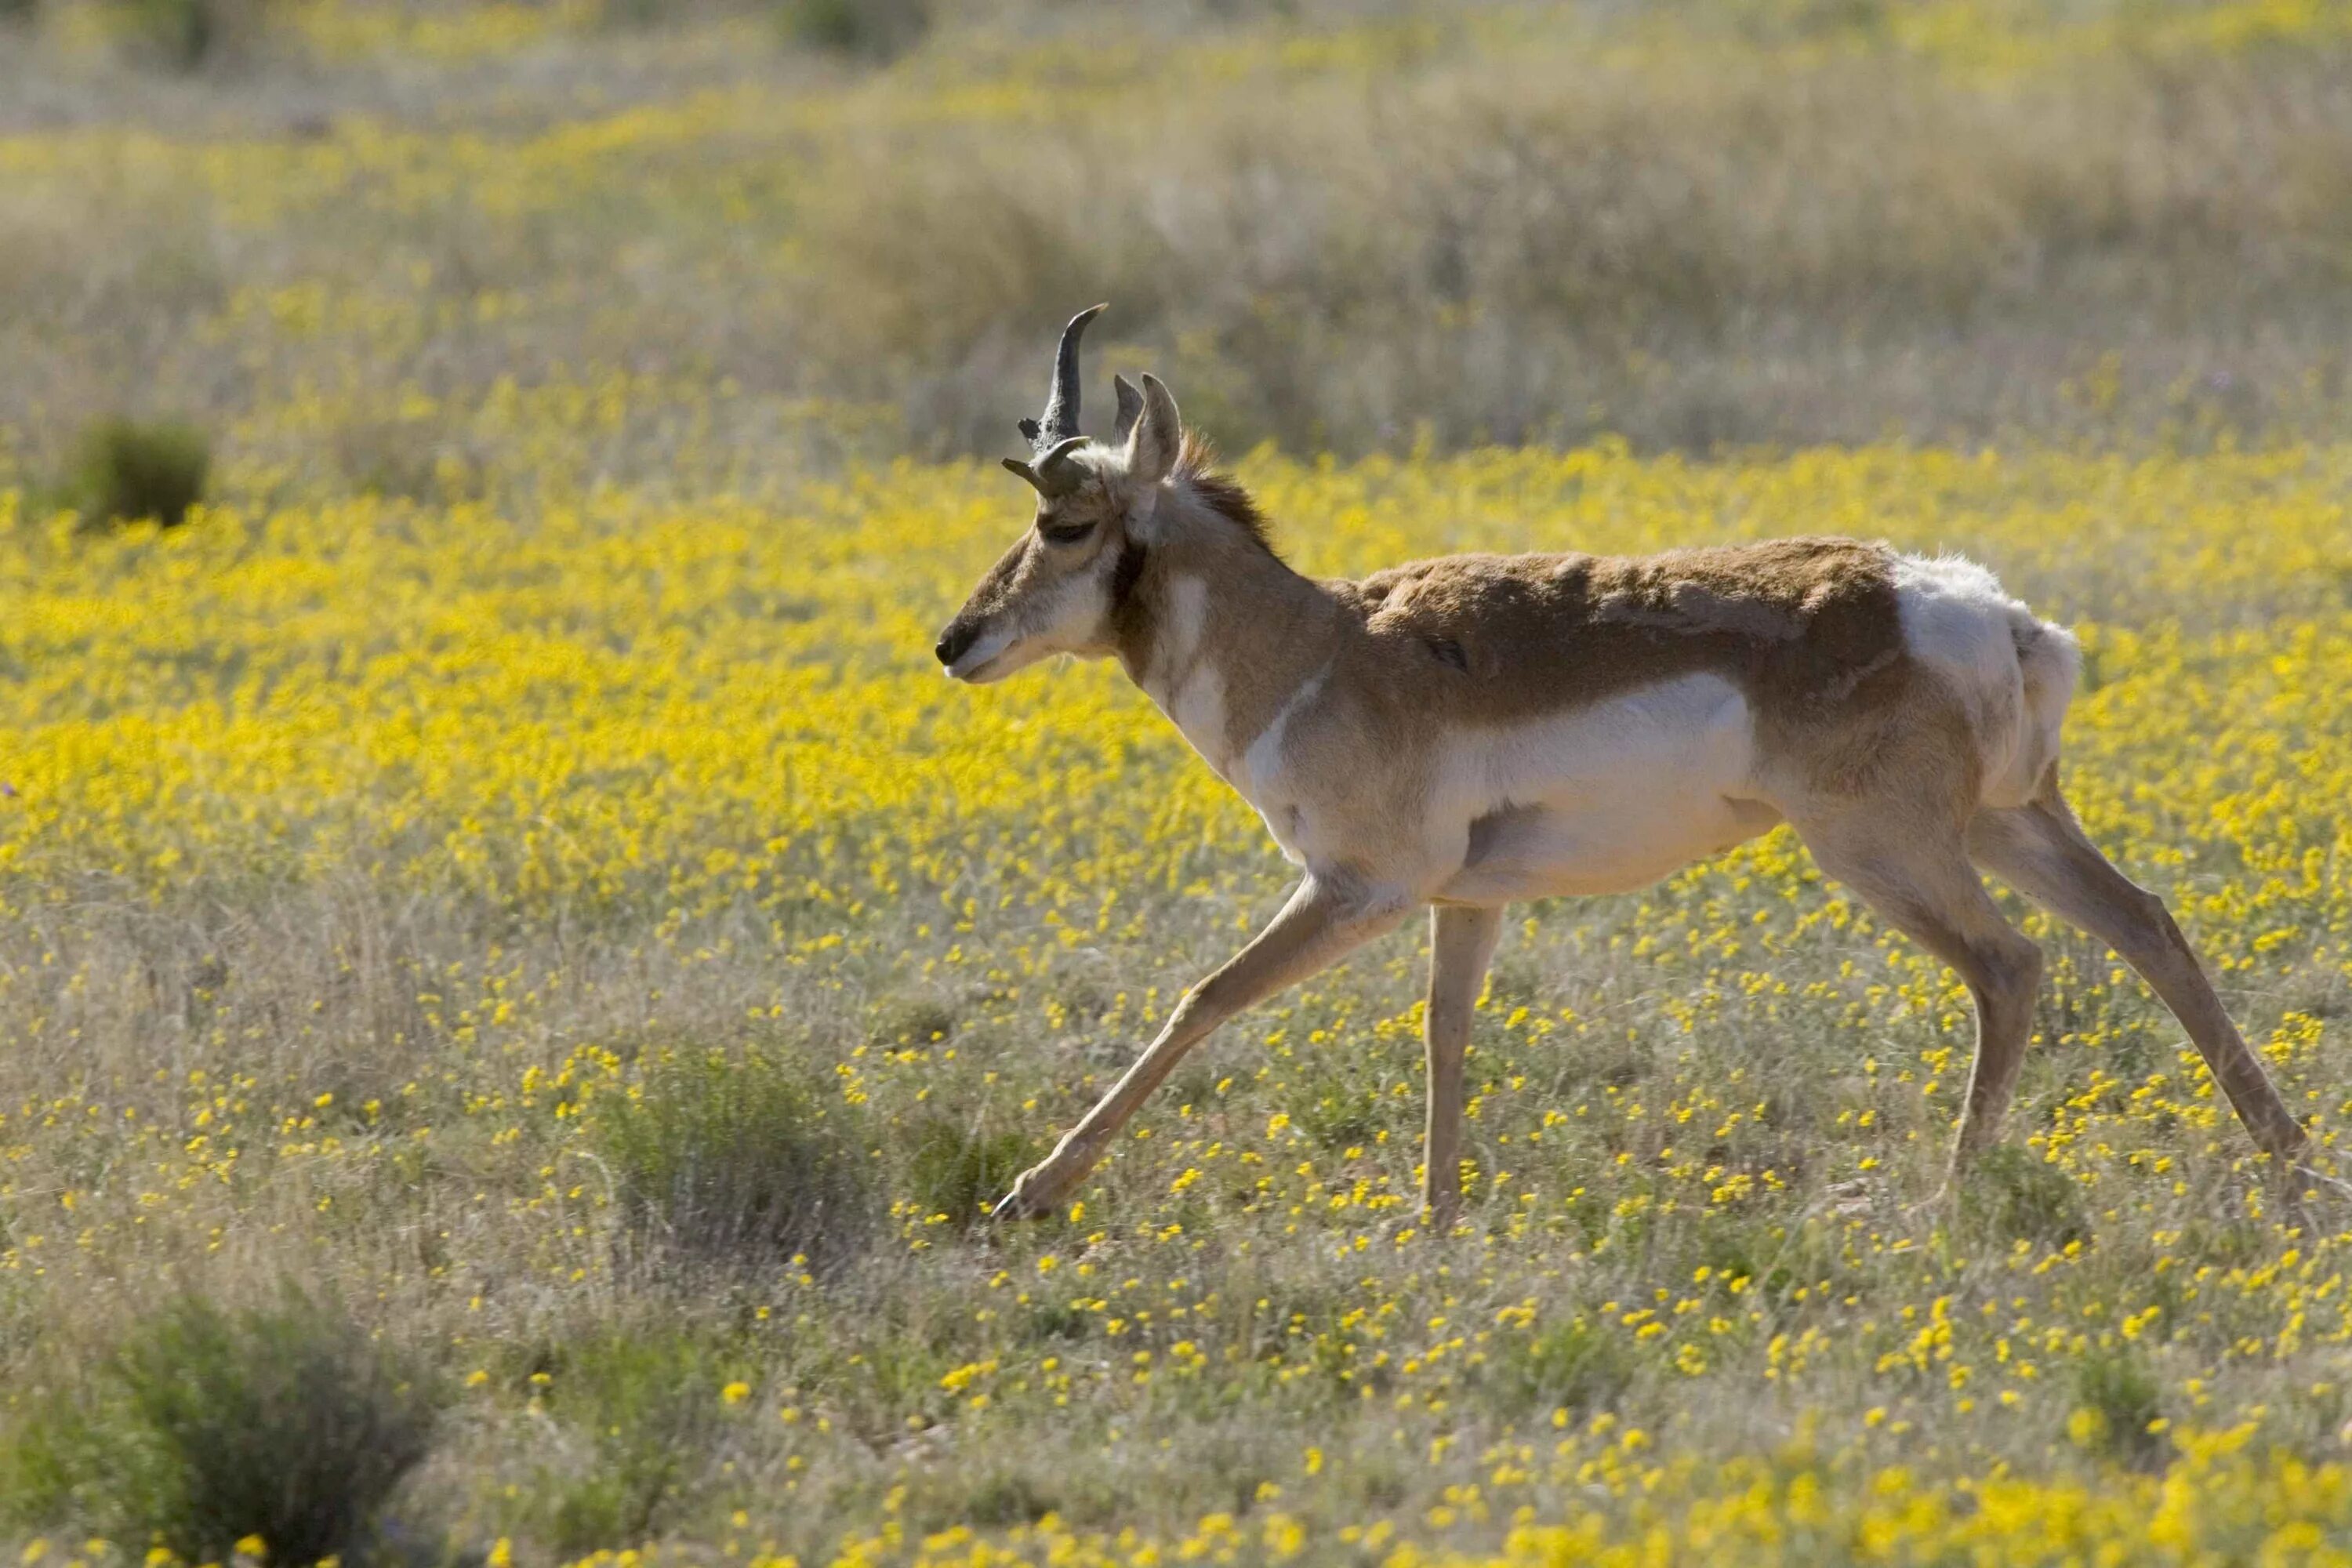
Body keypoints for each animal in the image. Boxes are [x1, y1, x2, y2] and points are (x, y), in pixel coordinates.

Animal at [931, 305, 2296, 1222]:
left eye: (1064, 519)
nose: (954, 642)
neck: (1324, 646)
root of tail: (1977, 609)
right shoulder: (1465, 901)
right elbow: (1445, 1033)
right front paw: (1434, 1221)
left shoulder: (1356, 889)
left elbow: (1204, 997)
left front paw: (1030, 1193)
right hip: (2006, 825)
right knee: (2147, 921)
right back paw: (2289, 1158)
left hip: (1885, 853)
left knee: (2011, 968)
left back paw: (1940, 1203)